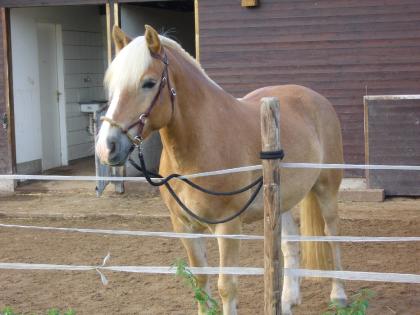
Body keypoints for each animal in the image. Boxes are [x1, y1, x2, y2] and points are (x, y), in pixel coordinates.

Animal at [97, 25, 346, 315]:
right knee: (289, 244)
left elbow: (226, 285)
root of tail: (316, 98)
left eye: (148, 83)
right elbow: (200, 279)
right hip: (281, 199)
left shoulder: (228, 226)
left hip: (327, 188)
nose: (106, 147)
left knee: (332, 236)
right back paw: (286, 301)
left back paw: (339, 295)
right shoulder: (184, 226)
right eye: (112, 84)